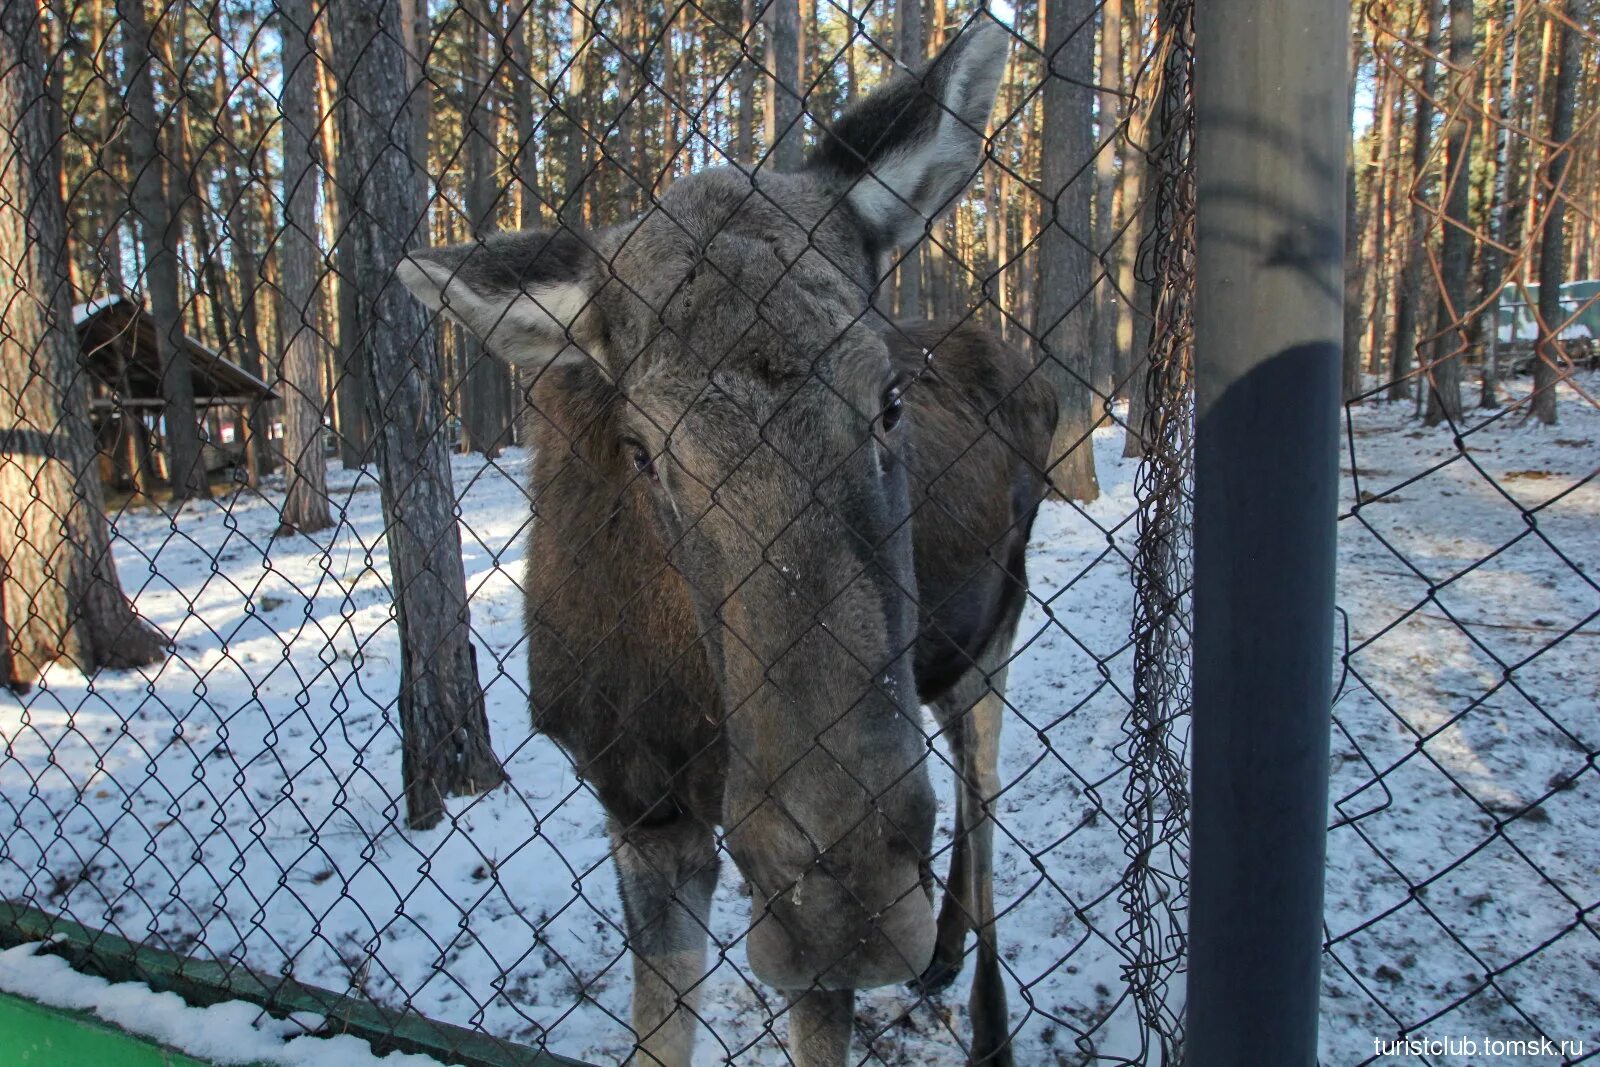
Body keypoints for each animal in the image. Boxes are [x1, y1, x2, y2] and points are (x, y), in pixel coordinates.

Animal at [398, 18, 1049, 1067]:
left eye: (889, 399)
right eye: (643, 448)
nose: (850, 904)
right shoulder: (639, 805)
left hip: (999, 620)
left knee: (983, 783)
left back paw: (982, 1008)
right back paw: (942, 952)